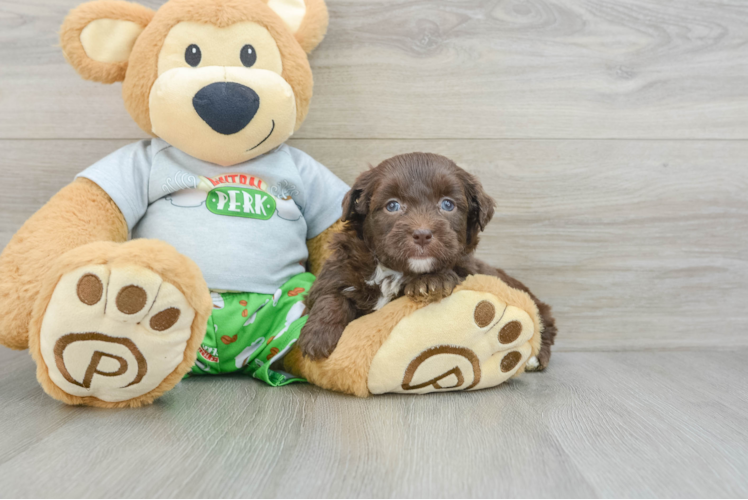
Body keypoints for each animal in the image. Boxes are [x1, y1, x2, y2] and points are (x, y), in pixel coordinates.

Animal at [298, 152, 556, 368]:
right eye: (392, 205)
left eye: (447, 204)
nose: (422, 234)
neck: (393, 271)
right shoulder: (341, 266)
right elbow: (330, 294)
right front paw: (317, 336)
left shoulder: (467, 267)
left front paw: (430, 282)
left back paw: (535, 357)